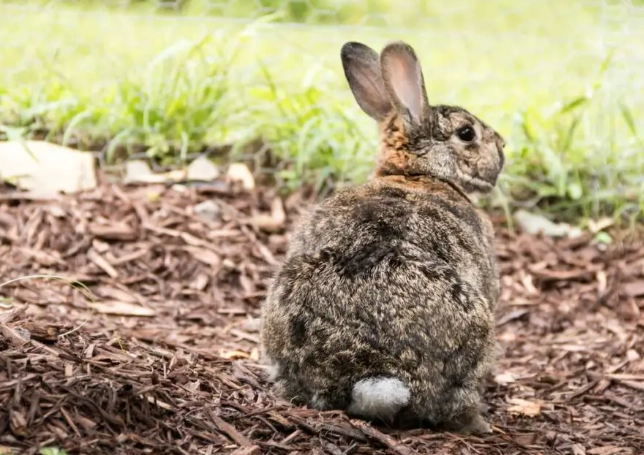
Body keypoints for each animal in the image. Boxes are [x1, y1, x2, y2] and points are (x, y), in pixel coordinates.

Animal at [259, 40, 505, 435]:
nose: (503, 146)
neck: (416, 173)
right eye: (467, 133)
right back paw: (479, 422)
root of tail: (364, 369)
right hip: (475, 329)